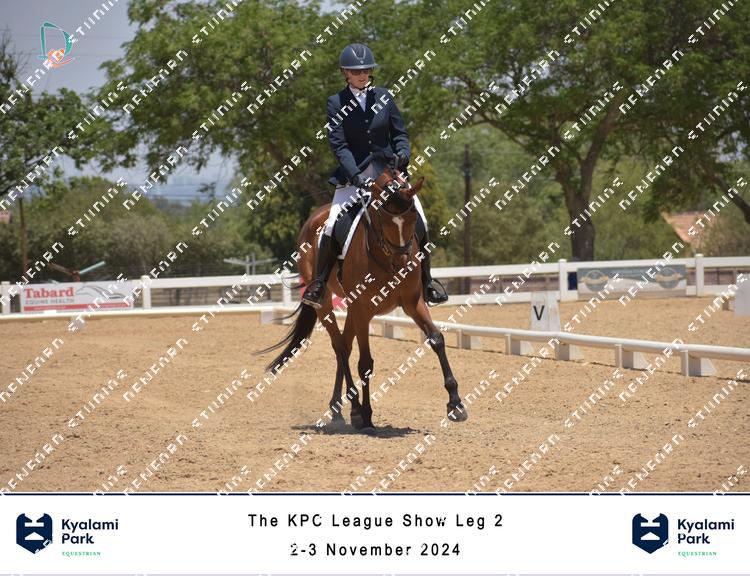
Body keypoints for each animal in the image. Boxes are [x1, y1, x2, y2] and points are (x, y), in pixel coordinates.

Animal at [256, 162, 468, 432]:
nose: (402, 263)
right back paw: (353, 408)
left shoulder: (412, 303)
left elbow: (436, 339)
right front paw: (365, 414)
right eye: (383, 219)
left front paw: (455, 403)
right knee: (340, 347)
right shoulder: (363, 309)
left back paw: (337, 409)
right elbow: (365, 362)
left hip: (352, 309)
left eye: (413, 220)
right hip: (328, 304)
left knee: (345, 346)